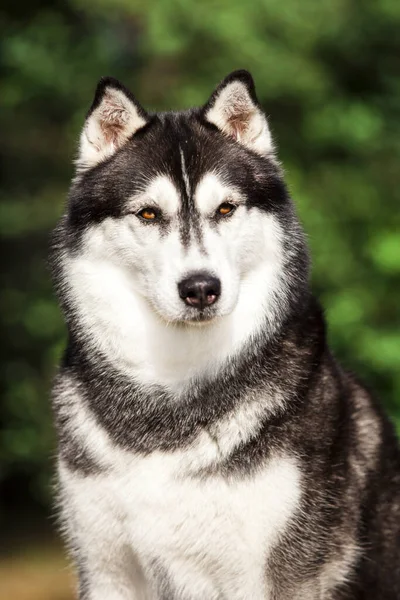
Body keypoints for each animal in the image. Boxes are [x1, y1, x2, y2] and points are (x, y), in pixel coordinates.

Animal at [50, 71, 400, 600]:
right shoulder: (106, 571)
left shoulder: (269, 579)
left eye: (227, 209)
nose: (200, 288)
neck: (169, 402)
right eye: (148, 214)